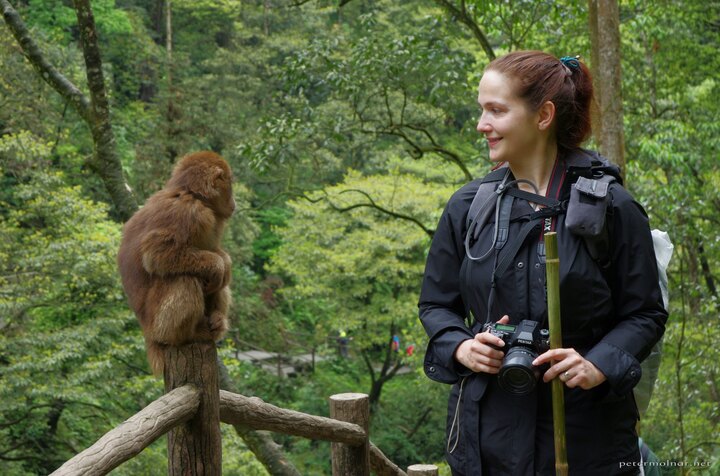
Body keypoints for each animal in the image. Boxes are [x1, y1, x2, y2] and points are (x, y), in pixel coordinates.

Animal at [118, 151, 235, 374]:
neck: (189, 193)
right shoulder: (189, 213)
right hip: (157, 322)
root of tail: (147, 333)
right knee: (184, 278)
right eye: (230, 186)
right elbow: (156, 254)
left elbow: (214, 252)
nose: (234, 203)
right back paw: (187, 336)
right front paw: (217, 264)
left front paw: (224, 262)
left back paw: (216, 321)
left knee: (216, 282)